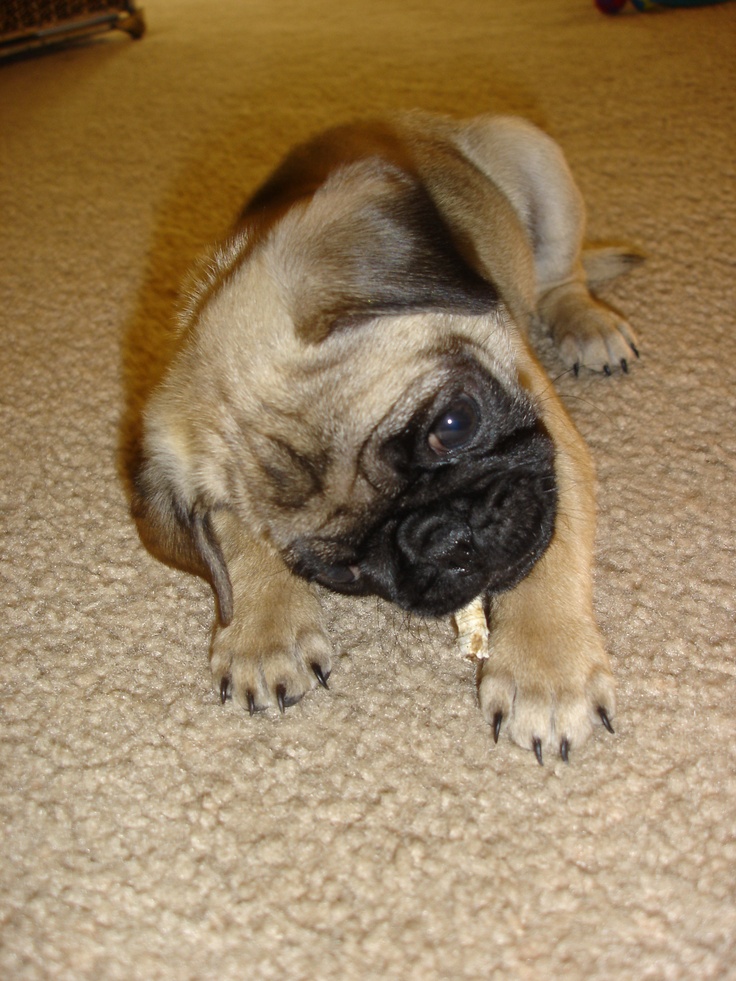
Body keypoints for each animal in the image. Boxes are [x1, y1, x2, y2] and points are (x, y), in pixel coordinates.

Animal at [134, 111, 640, 760]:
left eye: (453, 425)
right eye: (341, 573)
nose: (448, 538)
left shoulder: (553, 445)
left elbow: (549, 554)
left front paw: (546, 674)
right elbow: (232, 540)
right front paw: (261, 632)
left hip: (532, 157)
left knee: (560, 276)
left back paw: (586, 321)